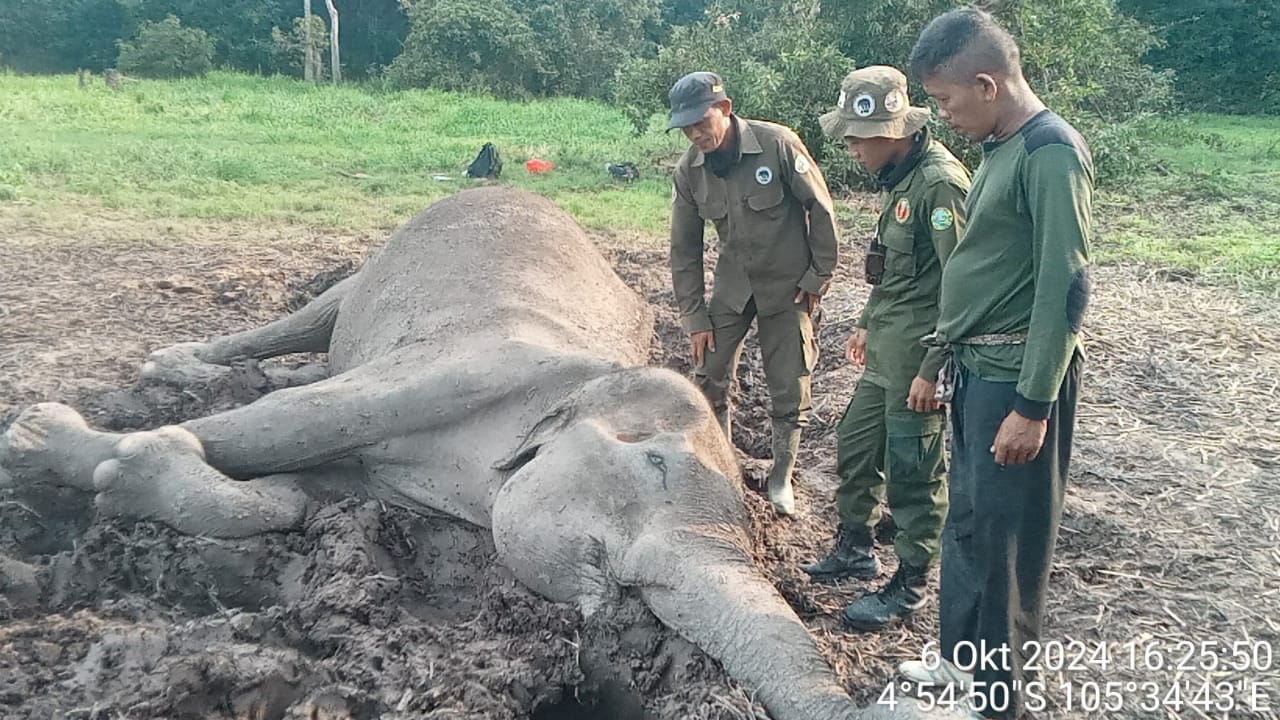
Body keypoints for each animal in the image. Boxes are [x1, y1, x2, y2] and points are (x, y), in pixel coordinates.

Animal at [2, 185, 942, 717]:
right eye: (654, 467)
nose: (916, 688)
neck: (585, 380)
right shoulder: (467, 365)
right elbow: (297, 419)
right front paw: (44, 437)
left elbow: (315, 475)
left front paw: (284, 501)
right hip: (386, 254)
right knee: (310, 326)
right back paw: (173, 367)